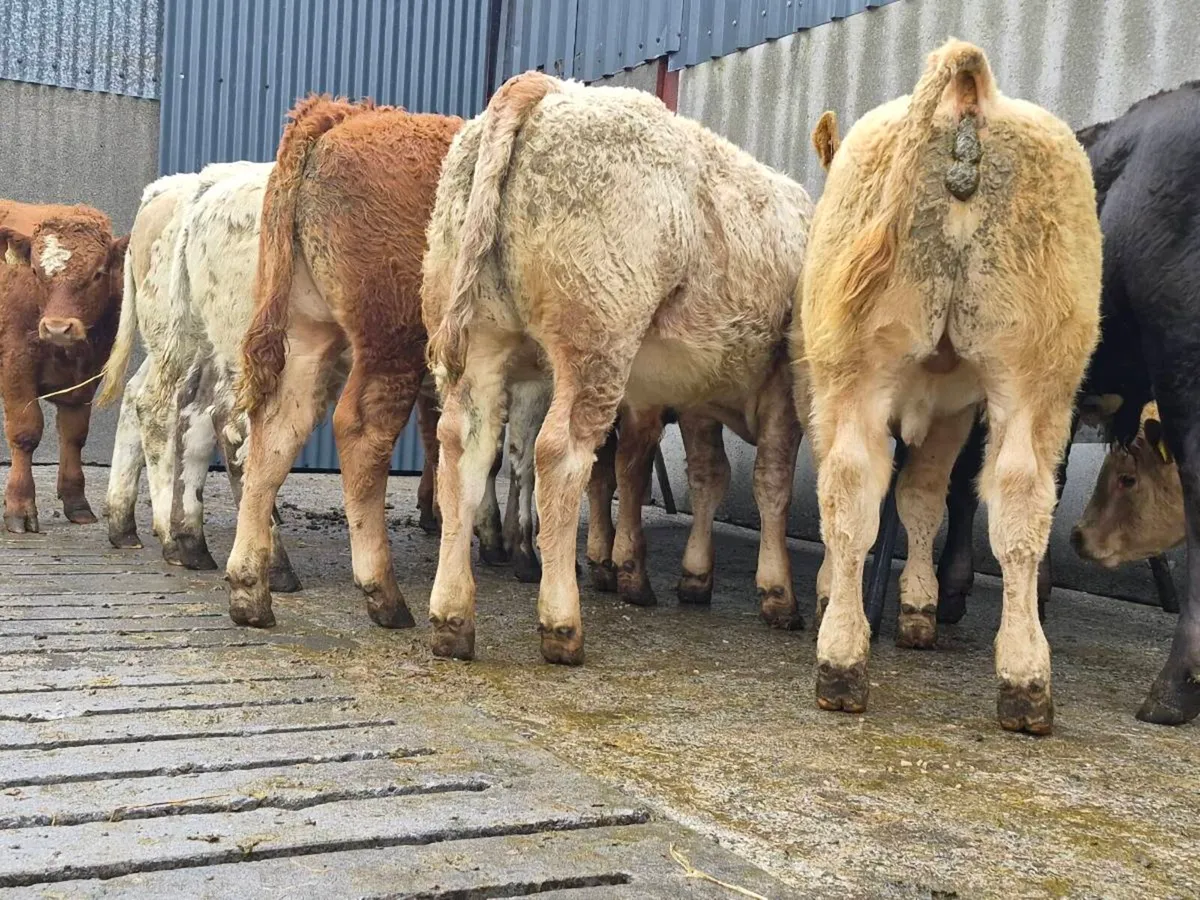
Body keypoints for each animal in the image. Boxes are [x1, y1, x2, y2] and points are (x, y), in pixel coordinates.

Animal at [0, 200, 127, 533]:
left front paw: (76, 502)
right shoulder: (15, 365)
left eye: (98, 274)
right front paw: (19, 507)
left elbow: (74, 433)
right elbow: (25, 432)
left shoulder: (87, 375)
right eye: (35, 271)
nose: (57, 328)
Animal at [231, 94, 460, 629]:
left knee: (276, 429)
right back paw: (384, 595)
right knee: (360, 432)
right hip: (394, 338)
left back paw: (250, 591)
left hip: (308, 333)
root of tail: (346, 115)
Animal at [422, 72, 812, 665]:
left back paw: (452, 618)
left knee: (466, 449)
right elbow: (771, 485)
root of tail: (545, 88)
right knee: (559, 456)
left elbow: (708, 476)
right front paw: (779, 593)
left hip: (481, 341)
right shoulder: (781, 388)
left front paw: (693, 578)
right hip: (598, 338)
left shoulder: (695, 395)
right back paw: (561, 623)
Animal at [798, 40, 1102, 734]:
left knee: (854, 491)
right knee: (1019, 499)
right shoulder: (955, 409)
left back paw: (843, 659)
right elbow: (921, 498)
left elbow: (911, 500)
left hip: (857, 373)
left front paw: (899, 602)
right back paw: (1023, 678)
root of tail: (972, 98)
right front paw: (919, 605)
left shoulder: (931, 410)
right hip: (1033, 374)